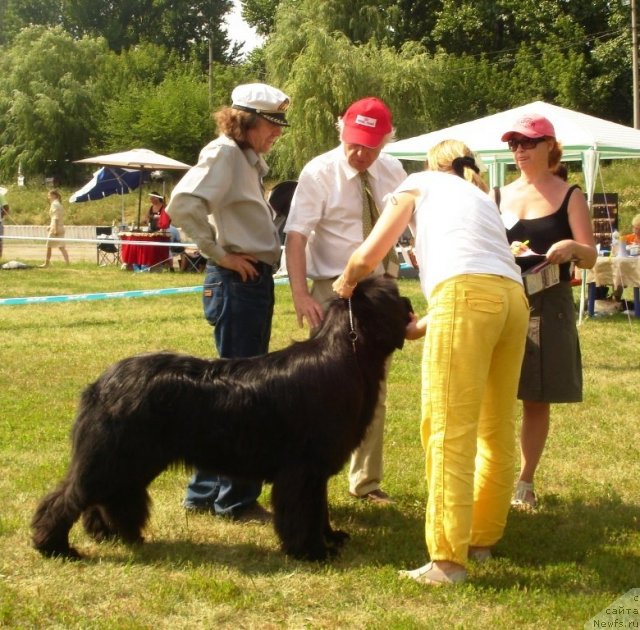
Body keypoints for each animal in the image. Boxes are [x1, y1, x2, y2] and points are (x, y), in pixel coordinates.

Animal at [32, 276, 412, 564]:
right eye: (394, 297)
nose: (410, 302)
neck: (347, 354)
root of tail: (100, 383)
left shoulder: (314, 472)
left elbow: (319, 510)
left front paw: (331, 539)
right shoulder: (302, 470)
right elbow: (304, 512)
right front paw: (312, 552)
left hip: (128, 460)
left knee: (106, 495)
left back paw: (108, 534)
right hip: (114, 455)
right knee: (67, 497)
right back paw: (55, 547)